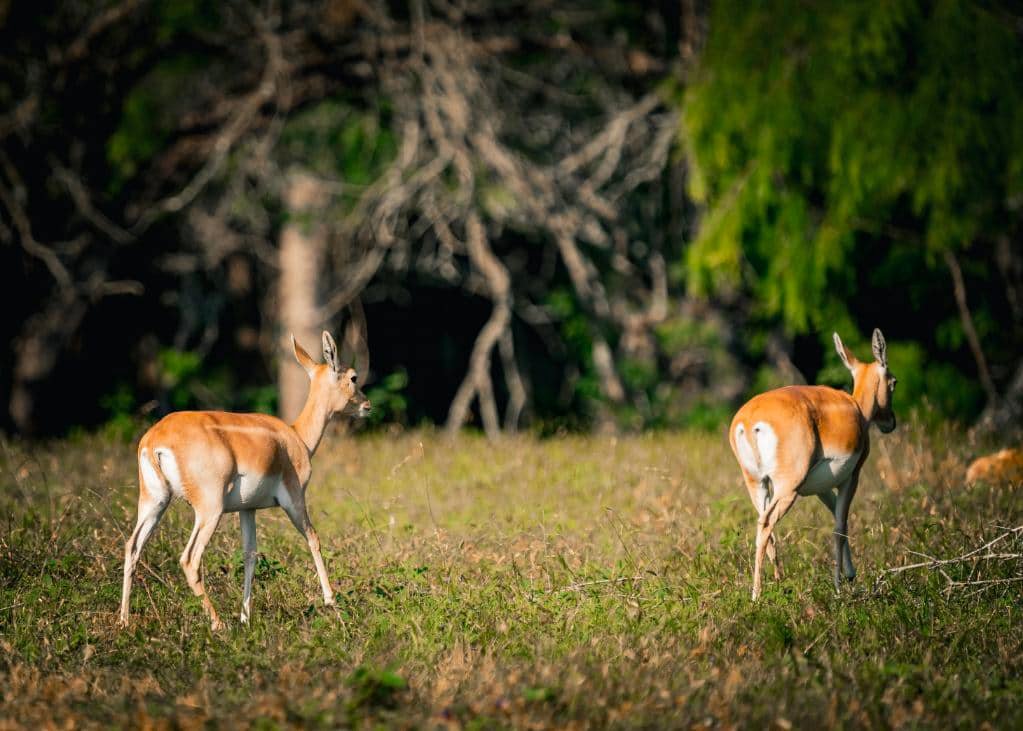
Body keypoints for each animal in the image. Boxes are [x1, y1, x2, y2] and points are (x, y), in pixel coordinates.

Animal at [118, 331, 371, 630]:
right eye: (353, 377)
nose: (367, 405)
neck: (297, 438)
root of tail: (156, 438)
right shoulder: (295, 499)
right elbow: (313, 538)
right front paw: (331, 601)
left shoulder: (247, 509)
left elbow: (250, 554)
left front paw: (245, 617)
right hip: (209, 510)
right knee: (189, 559)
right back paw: (218, 624)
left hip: (155, 501)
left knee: (132, 547)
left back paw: (124, 621)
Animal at [728, 328, 896, 601]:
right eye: (894, 382)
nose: (890, 422)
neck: (857, 410)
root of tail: (750, 419)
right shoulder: (852, 477)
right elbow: (839, 527)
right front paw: (839, 585)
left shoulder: (821, 488)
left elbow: (836, 518)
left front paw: (850, 574)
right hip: (788, 488)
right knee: (766, 524)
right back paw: (757, 595)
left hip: (757, 484)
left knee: (763, 524)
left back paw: (778, 582)